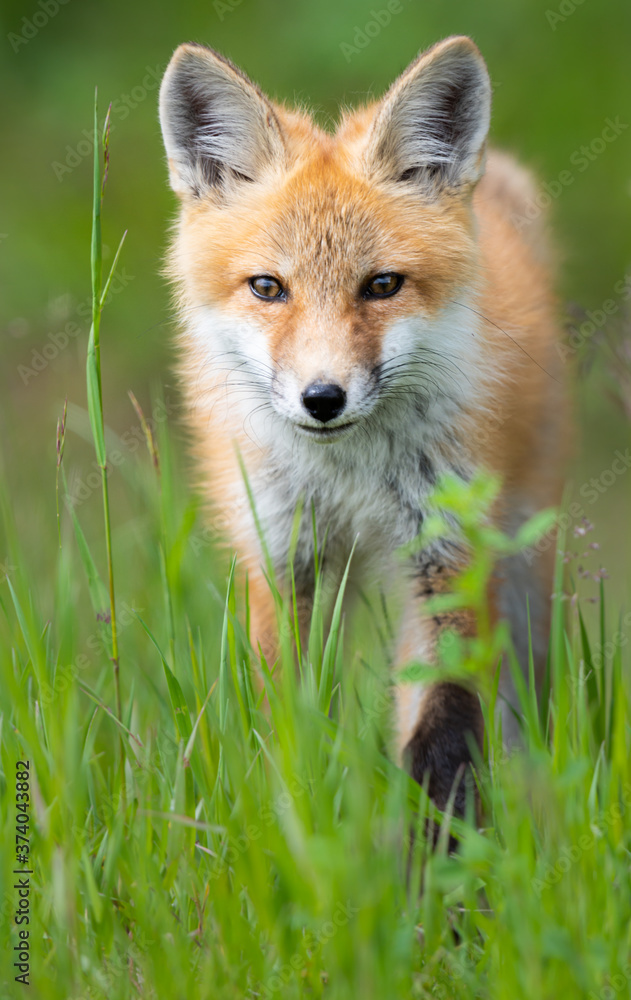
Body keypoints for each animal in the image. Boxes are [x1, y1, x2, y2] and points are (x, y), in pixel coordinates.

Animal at [158, 36, 568, 818]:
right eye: (268, 288)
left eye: (381, 286)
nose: (323, 398)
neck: (350, 480)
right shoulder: (284, 558)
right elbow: (292, 726)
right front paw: (301, 821)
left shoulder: (445, 552)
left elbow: (442, 730)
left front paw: (441, 845)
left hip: (523, 551)